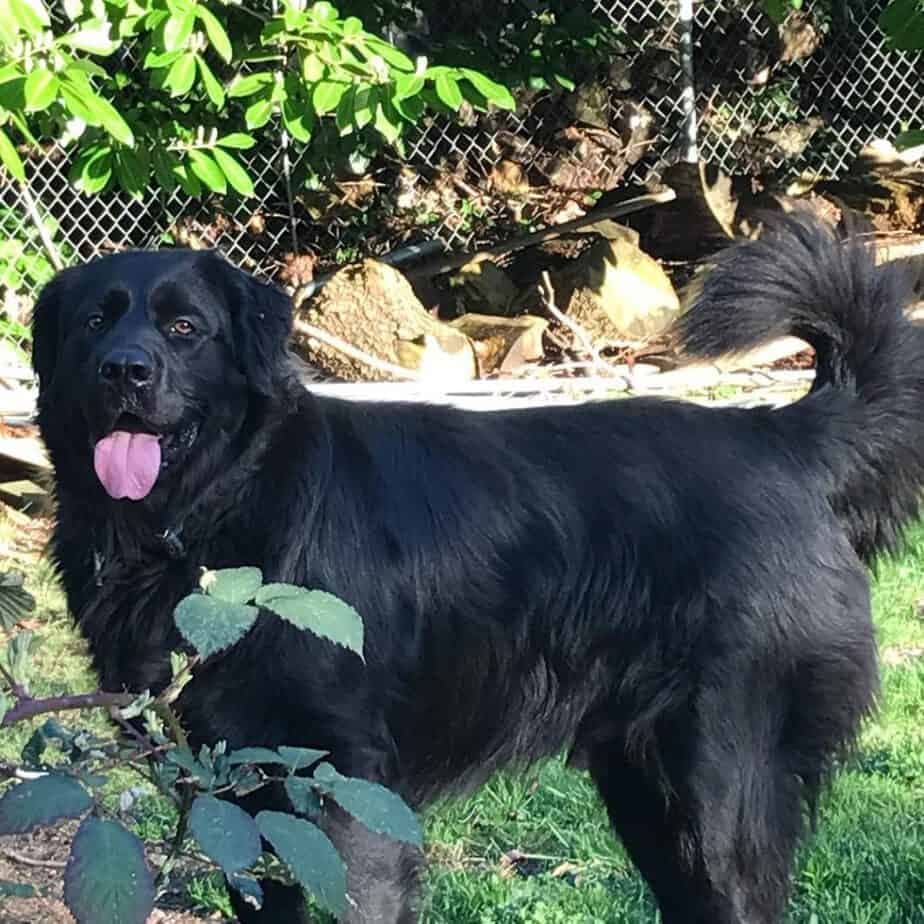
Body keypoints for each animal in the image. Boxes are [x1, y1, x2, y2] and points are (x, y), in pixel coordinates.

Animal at [32, 213, 924, 920]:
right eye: (92, 325)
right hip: (646, 790)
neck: (213, 514)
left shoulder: (348, 786)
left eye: (186, 329)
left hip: (721, 783)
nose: (124, 370)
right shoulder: (235, 793)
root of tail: (783, 436)